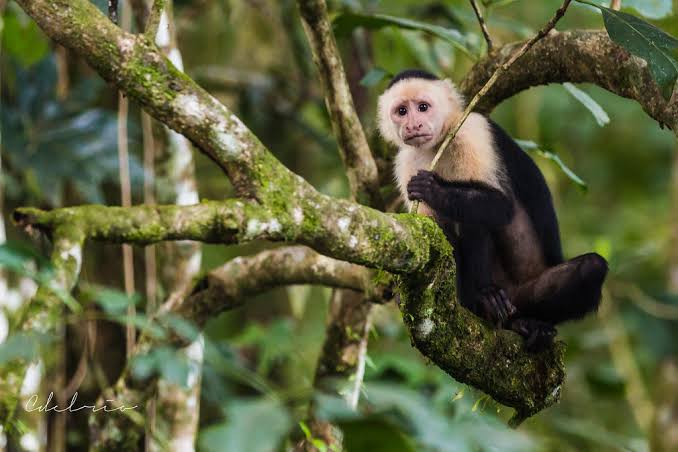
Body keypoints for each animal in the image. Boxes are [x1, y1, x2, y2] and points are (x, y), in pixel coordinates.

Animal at [377, 69, 608, 350]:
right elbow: (436, 236)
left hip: (525, 294)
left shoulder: (471, 130)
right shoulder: (406, 162)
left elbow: (500, 205)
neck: (439, 141)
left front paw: (433, 189)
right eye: (401, 111)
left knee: (591, 267)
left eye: (423, 107)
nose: (412, 125)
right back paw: (487, 308)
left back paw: (515, 316)